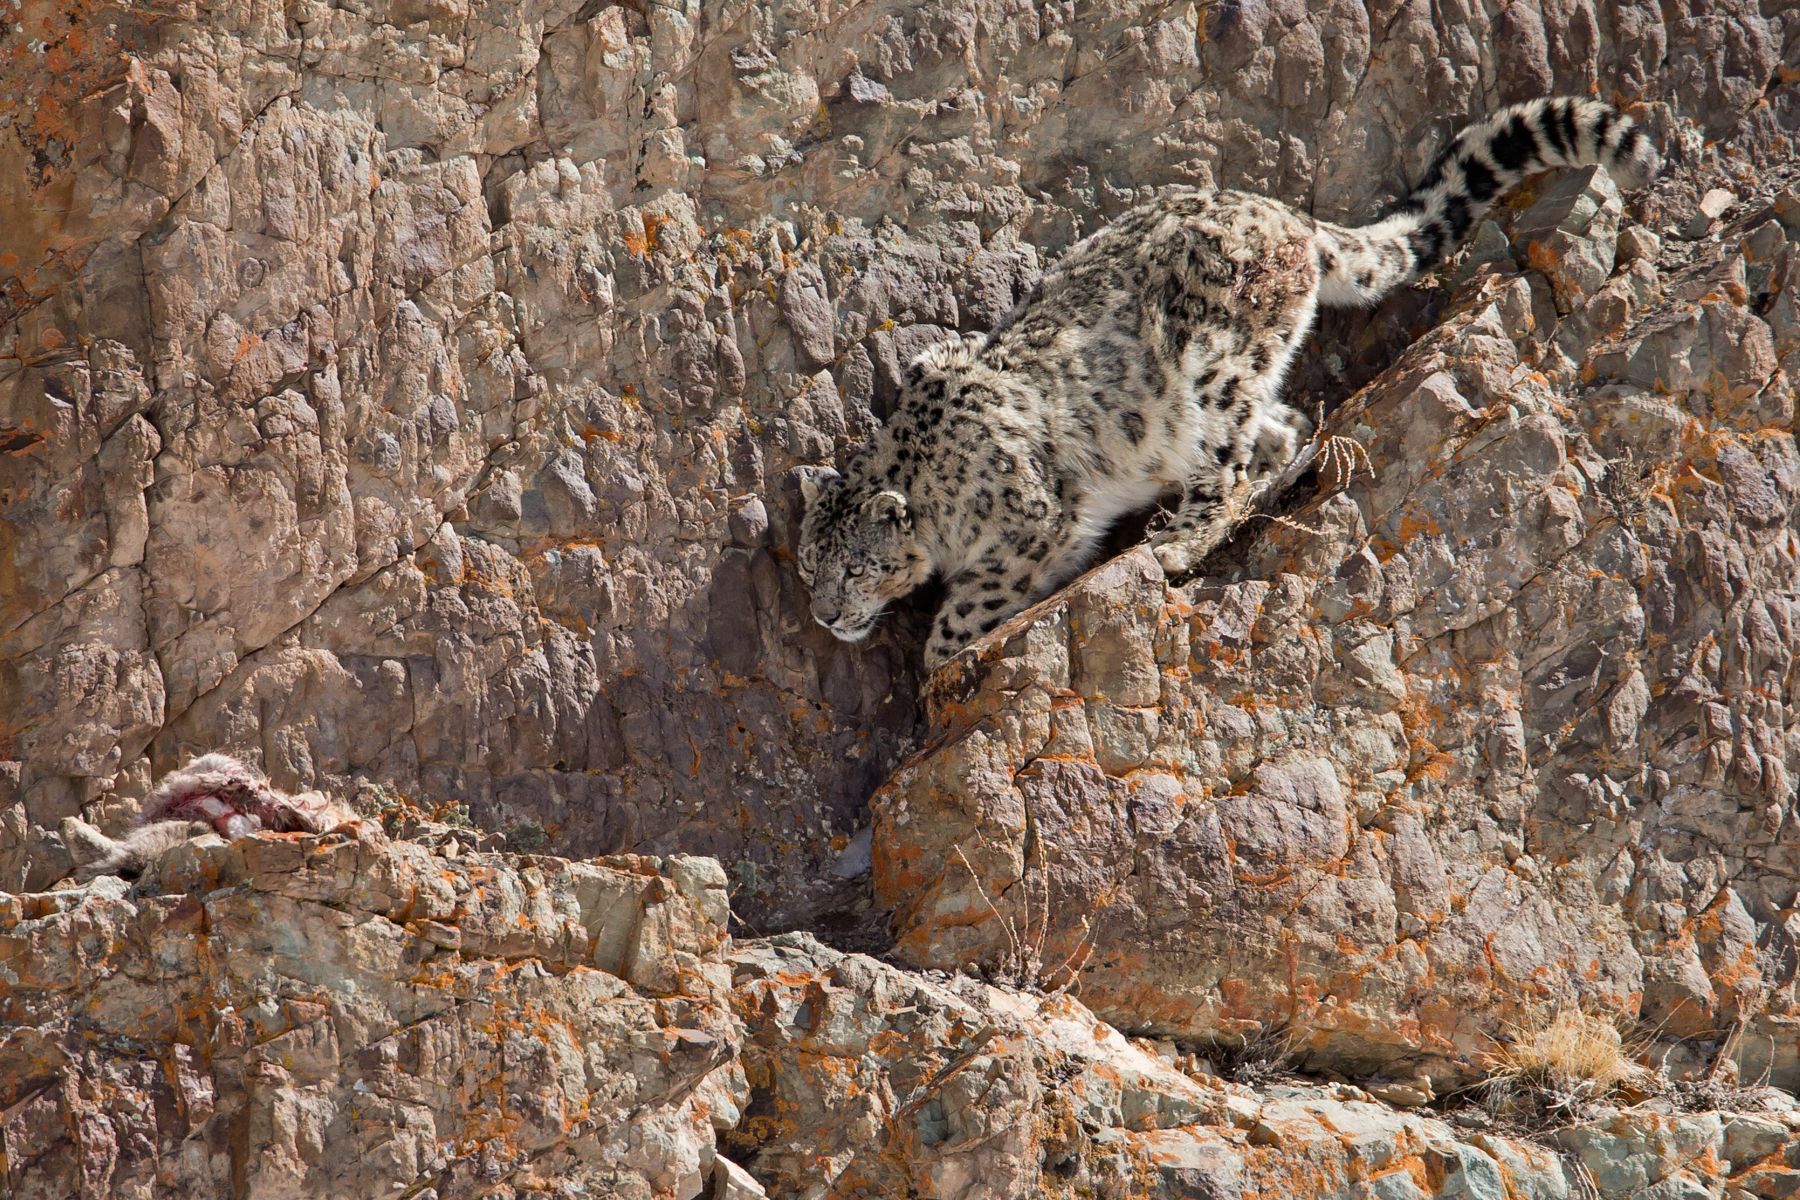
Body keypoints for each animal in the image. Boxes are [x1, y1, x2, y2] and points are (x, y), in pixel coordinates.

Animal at [802, 98, 1656, 672]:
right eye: (811, 567)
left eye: (857, 568)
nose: (826, 616)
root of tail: (1286, 215)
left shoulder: (1032, 521)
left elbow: (969, 605)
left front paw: (939, 658)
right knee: (1285, 429)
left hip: (1212, 376)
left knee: (1233, 468)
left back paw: (1173, 542)